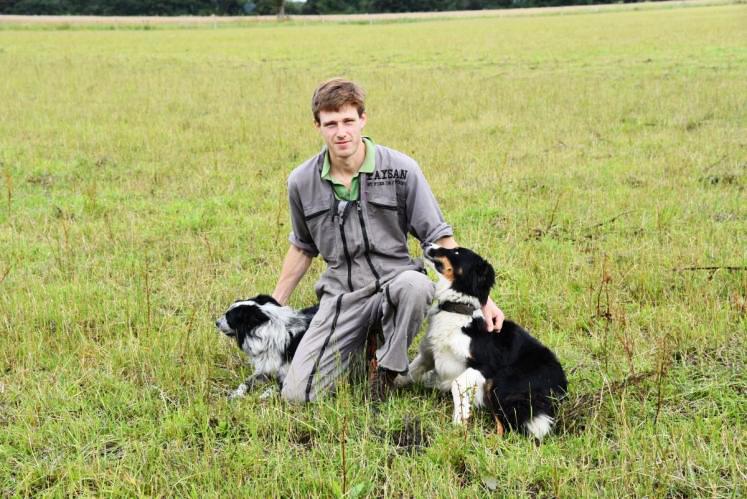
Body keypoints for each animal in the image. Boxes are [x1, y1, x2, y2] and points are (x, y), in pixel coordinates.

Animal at [398, 244, 568, 440]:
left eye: (456, 251)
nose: (427, 244)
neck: (457, 310)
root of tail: (561, 383)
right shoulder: (428, 355)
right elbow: (407, 372)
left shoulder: (485, 366)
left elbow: (457, 385)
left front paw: (458, 425)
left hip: (501, 386)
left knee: (505, 428)